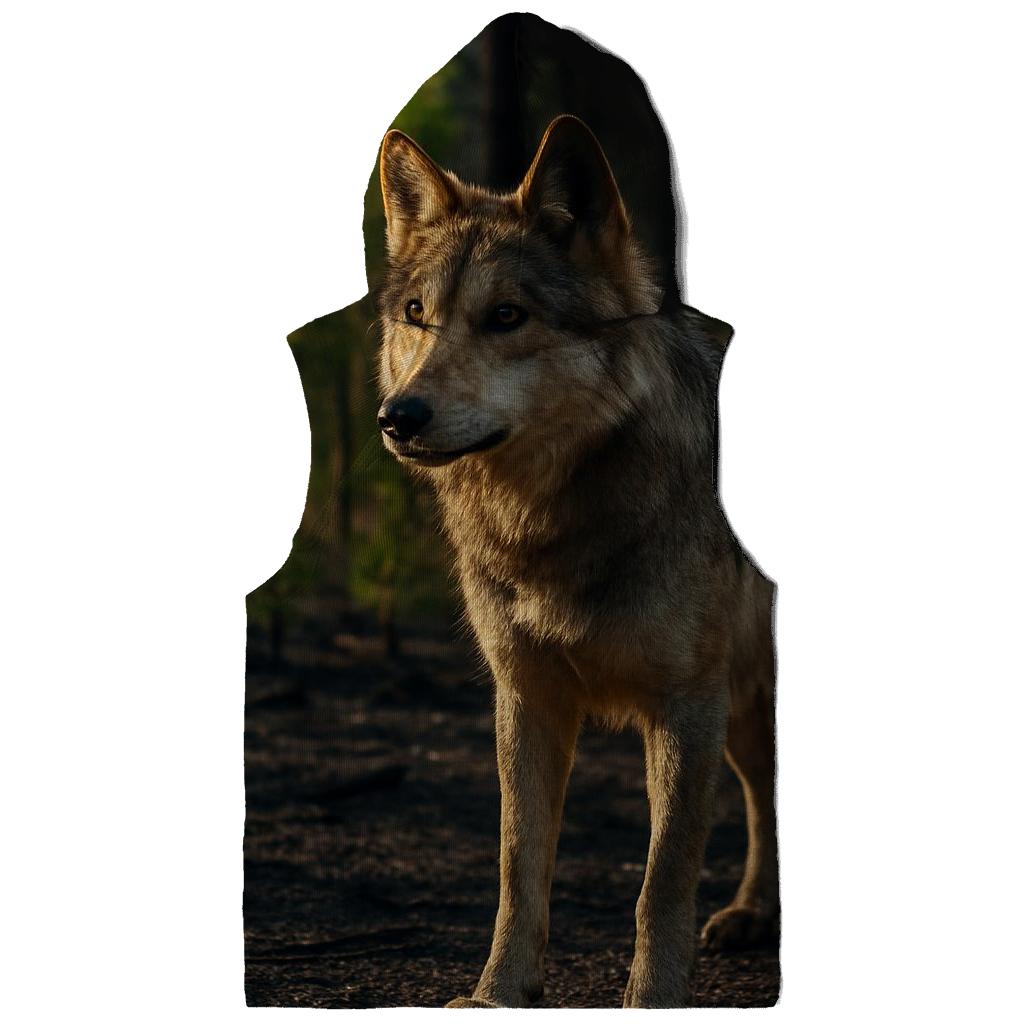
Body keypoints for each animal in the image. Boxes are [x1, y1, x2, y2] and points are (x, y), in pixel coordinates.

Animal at [375, 114, 778, 1008]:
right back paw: (753, 915)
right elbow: (518, 866)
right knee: (768, 797)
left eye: (506, 316)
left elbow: (660, 882)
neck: (547, 524)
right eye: (418, 313)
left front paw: (653, 1000)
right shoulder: (526, 697)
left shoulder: (685, 706)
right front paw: (497, 994)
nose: (397, 416)